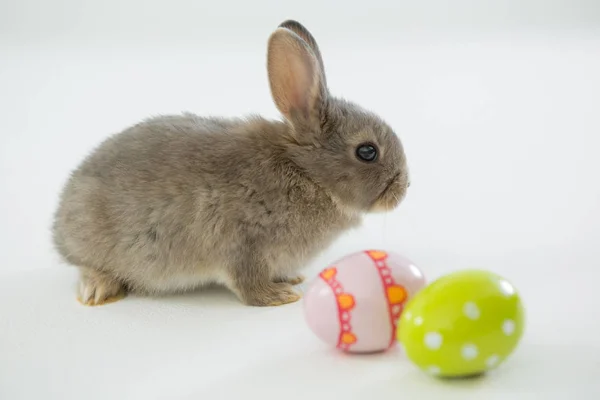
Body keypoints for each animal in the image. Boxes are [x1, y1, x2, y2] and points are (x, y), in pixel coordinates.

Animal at [51, 19, 410, 306]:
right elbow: (247, 282)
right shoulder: (244, 244)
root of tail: (60, 219)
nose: (404, 189)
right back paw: (98, 290)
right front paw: (278, 296)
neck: (306, 173)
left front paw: (289, 280)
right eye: (367, 151)